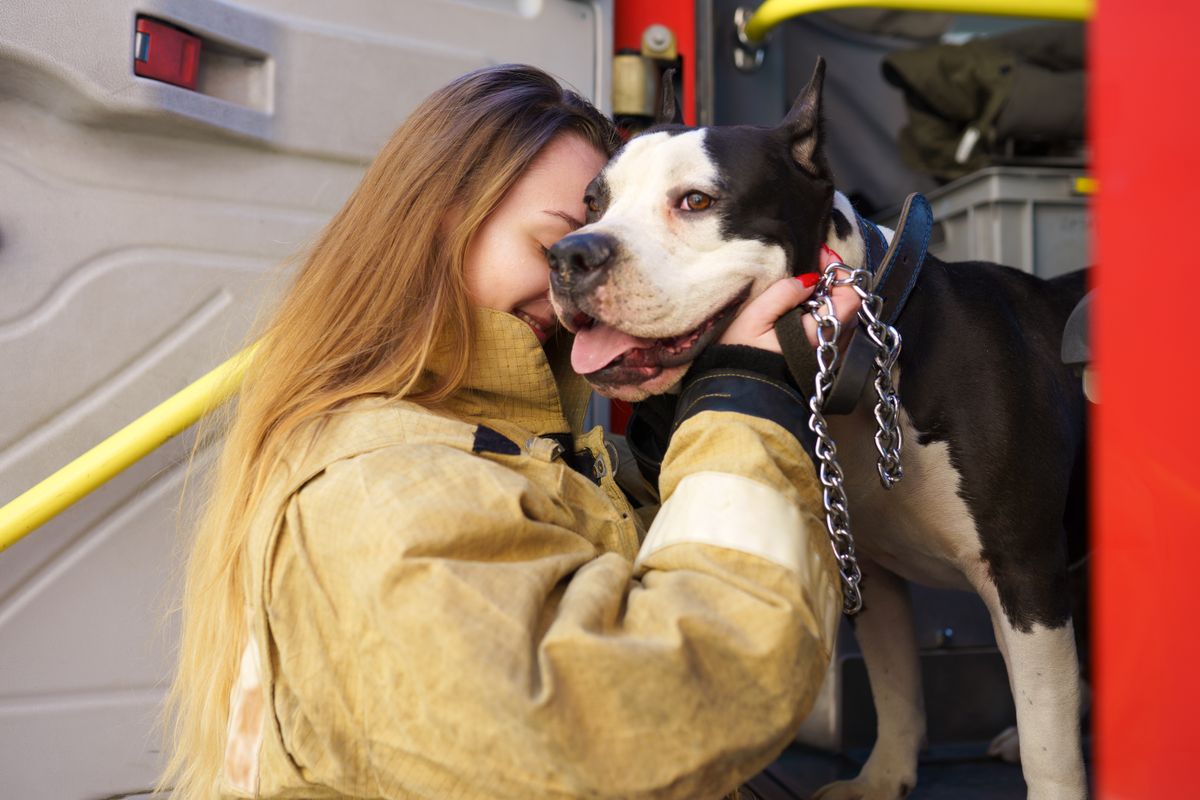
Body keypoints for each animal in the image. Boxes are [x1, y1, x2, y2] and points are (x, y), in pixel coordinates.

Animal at [549, 57, 1094, 800]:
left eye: (696, 201)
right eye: (591, 203)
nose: (569, 255)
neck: (868, 361)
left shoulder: (1024, 571)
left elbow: (1047, 729)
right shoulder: (871, 573)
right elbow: (896, 684)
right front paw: (883, 777)